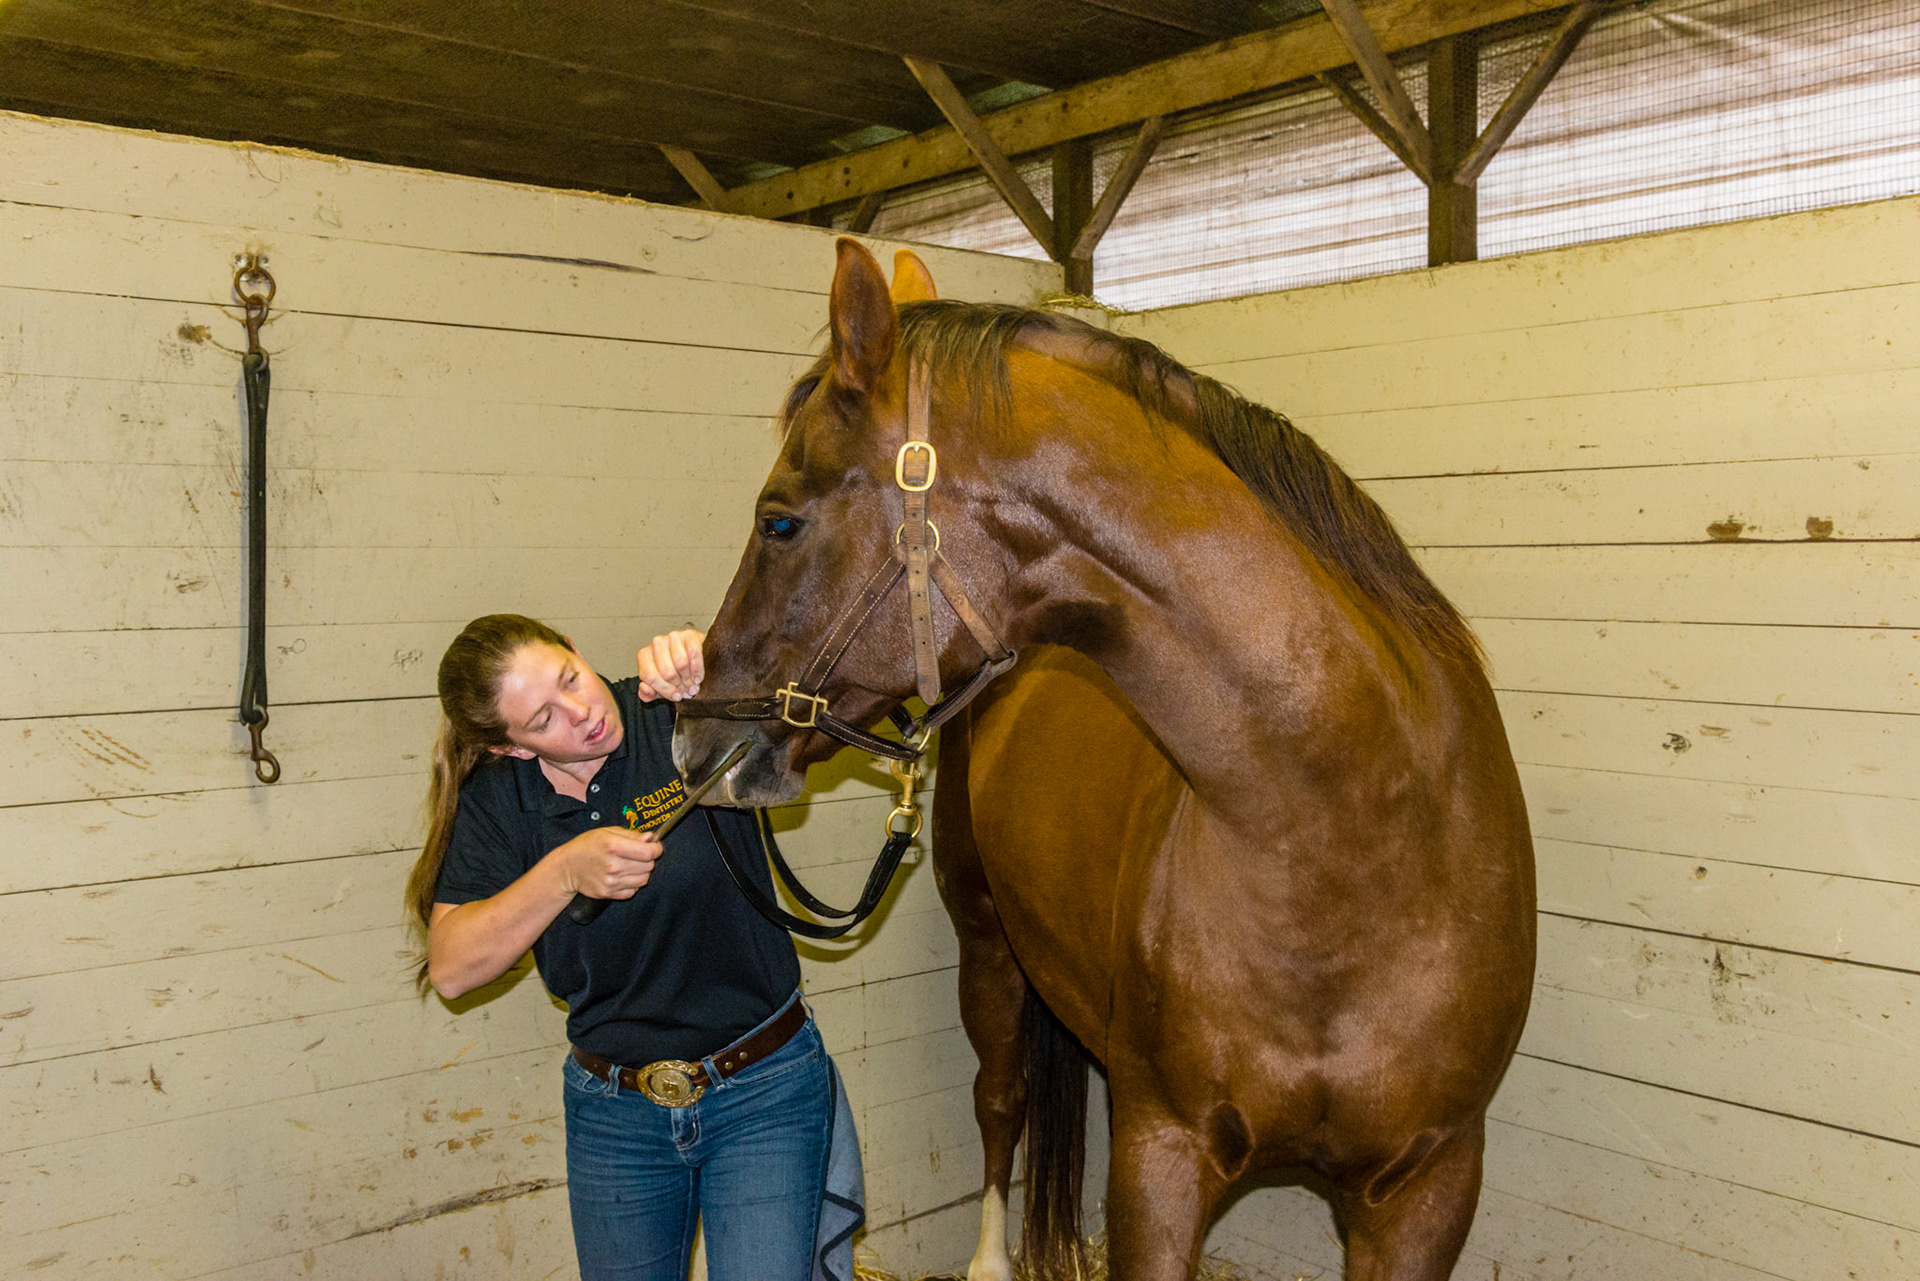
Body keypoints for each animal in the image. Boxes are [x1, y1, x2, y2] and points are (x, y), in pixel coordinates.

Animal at [672, 239, 1536, 1281]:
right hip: (988, 943)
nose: (693, 734)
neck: (1351, 838)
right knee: (1000, 1101)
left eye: (780, 520)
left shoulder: (1427, 1188)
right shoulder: (1159, 1155)